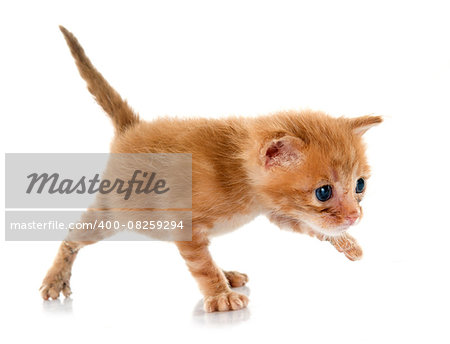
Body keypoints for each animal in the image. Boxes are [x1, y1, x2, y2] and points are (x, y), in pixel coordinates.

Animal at [40, 26, 382, 312]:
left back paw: (227, 273)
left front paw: (345, 241)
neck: (236, 170)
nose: (354, 216)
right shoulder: (185, 223)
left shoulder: (276, 209)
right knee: (73, 237)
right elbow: (201, 265)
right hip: (118, 212)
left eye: (360, 185)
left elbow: (305, 225)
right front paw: (219, 296)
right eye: (323, 192)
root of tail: (132, 128)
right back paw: (56, 278)